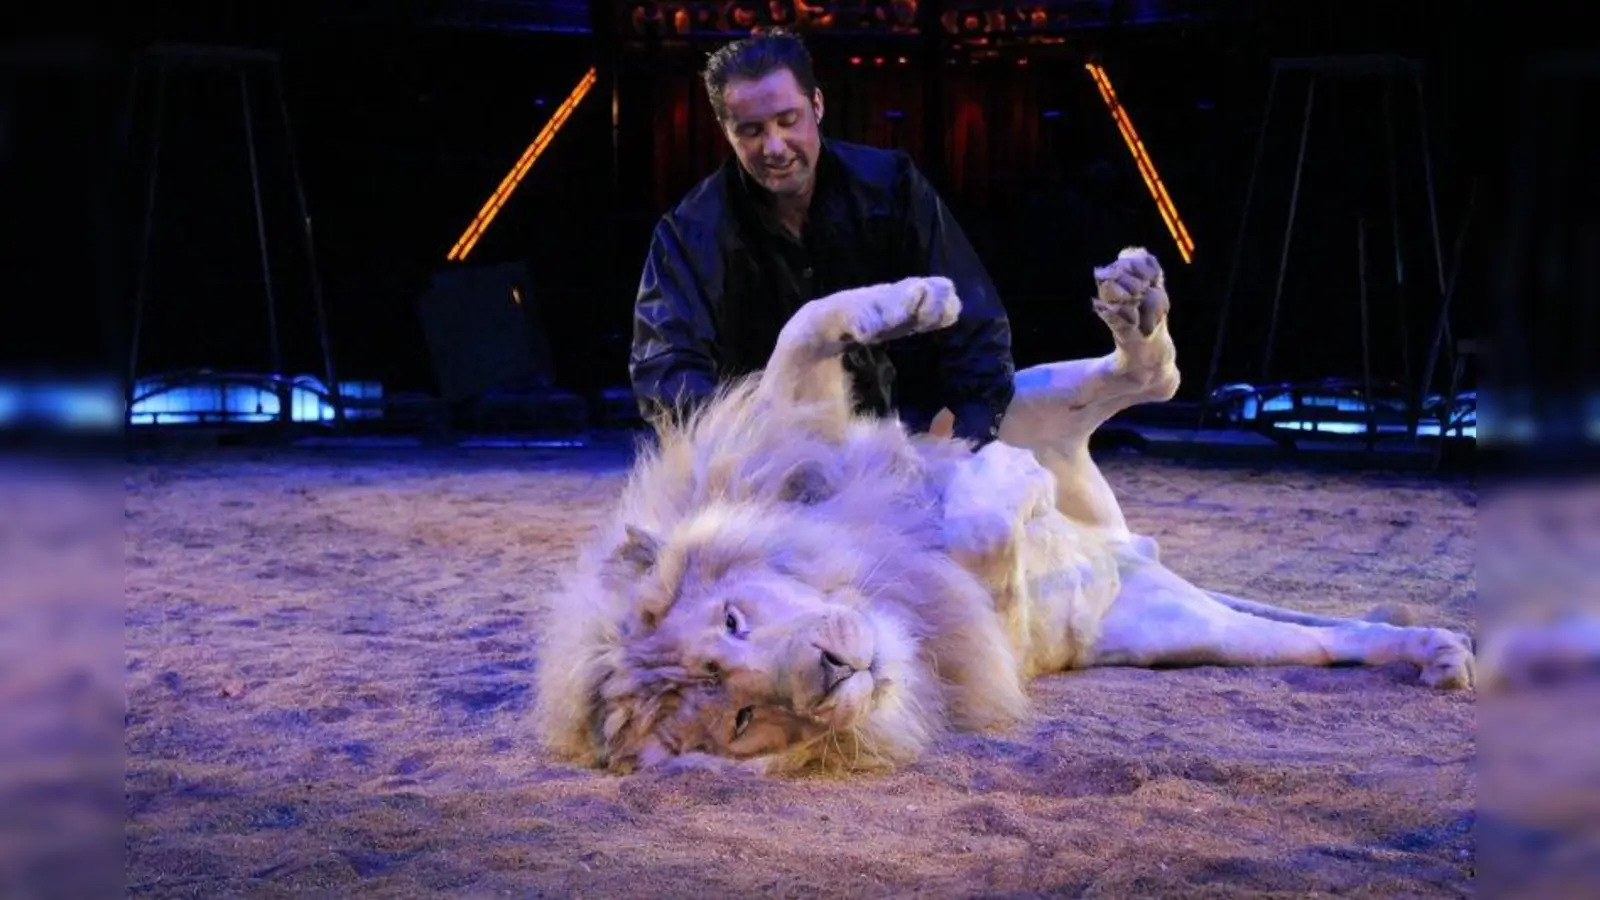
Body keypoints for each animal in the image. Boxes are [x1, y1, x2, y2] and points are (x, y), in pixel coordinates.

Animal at [532, 248, 1477, 776]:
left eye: (733, 620)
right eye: (740, 719)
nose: (832, 672)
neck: (882, 590)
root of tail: (1132, 548)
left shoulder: (798, 434)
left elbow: (803, 325)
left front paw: (914, 302)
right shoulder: (984, 634)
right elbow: (983, 543)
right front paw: (997, 493)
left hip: (1036, 398)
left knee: (1155, 376)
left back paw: (1135, 302)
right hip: (1183, 634)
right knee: (1323, 641)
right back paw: (1426, 651)